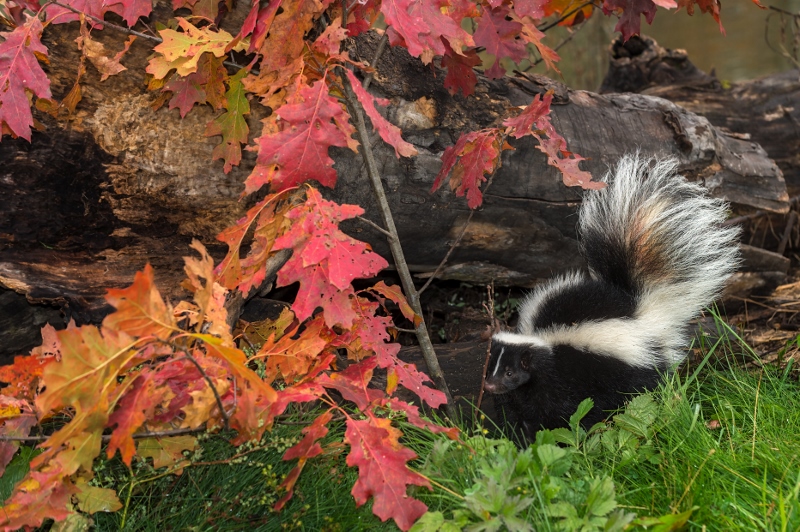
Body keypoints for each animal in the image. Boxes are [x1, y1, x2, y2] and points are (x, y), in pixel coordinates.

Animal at [484, 155, 740, 440]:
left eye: (510, 371)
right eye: (491, 367)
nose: (490, 386)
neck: (542, 341)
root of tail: (636, 304)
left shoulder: (564, 376)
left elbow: (564, 409)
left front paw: (564, 436)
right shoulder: (526, 390)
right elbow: (518, 411)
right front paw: (520, 438)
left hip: (632, 368)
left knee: (642, 390)